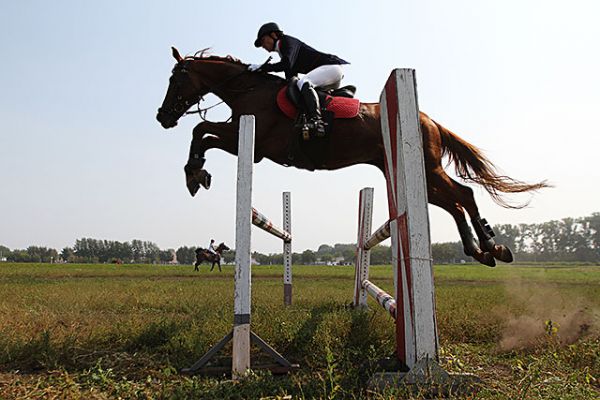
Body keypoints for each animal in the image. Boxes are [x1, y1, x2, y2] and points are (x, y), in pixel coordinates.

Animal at [156, 48, 548, 268]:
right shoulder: (245, 142)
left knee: (463, 195)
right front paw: (196, 173)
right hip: (414, 175)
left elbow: (201, 131)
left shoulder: (251, 145)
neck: (248, 89)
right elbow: (201, 133)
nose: (162, 117)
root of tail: (429, 120)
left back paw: (492, 246)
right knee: (453, 203)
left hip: (427, 168)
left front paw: (195, 174)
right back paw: (482, 251)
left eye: (176, 80)